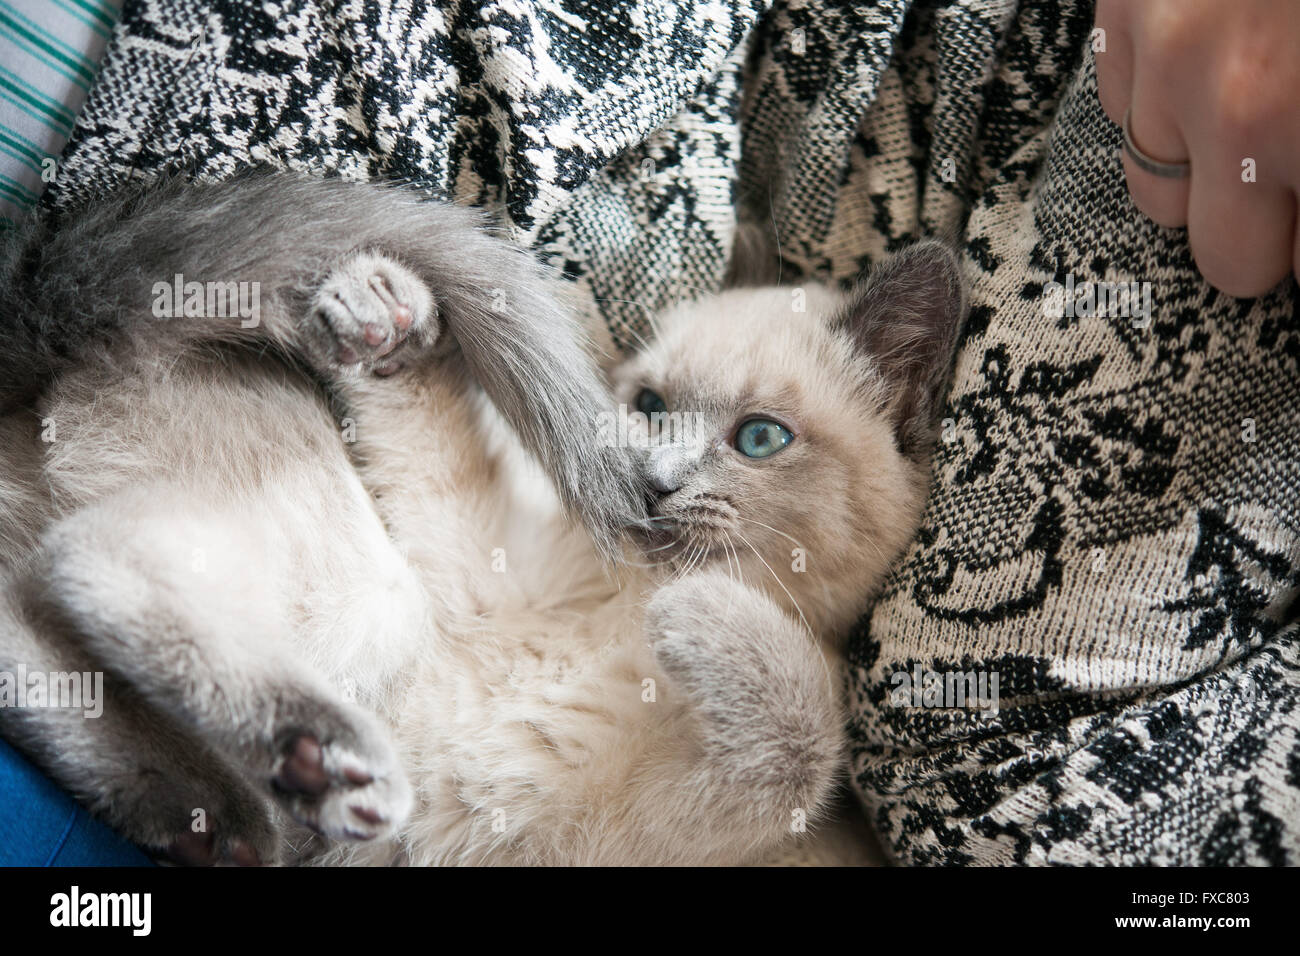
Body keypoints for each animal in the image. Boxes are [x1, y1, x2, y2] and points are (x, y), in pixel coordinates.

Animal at [0, 174, 967, 868]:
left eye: (760, 439)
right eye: (649, 407)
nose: (651, 487)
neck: (620, 603)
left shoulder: (649, 822)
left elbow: (802, 739)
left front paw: (698, 610)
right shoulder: (464, 573)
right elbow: (432, 418)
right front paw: (383, 314)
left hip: (364, 605)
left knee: (59, 589)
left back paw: (246, 809)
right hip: (376, 597)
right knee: (79, 566)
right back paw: (279, 784)